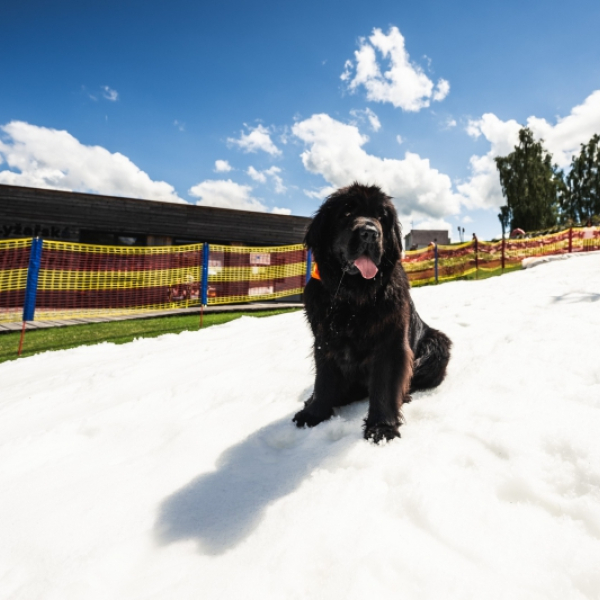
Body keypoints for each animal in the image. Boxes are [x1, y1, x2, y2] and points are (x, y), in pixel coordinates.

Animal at [292, 182, 452, 440]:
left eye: (381, 217)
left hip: (438, 345)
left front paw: (382, 427)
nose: (370, 232)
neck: (353, 298)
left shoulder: (390, 343)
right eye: (346, 211)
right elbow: (323, 380)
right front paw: (314, 412)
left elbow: (385, 386)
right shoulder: (324, 341)